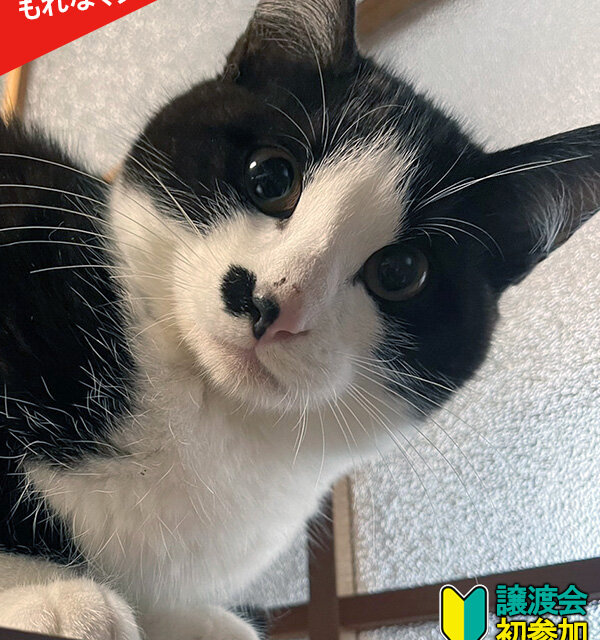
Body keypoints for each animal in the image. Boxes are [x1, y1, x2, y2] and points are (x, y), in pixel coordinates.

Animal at [0, 0, 598, 638]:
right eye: (270, 177)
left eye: (401, 271)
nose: (270, 304)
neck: (215, 417)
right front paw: (51, 597)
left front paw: (208, 621)